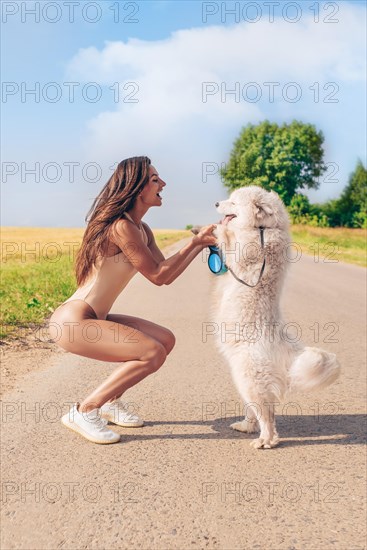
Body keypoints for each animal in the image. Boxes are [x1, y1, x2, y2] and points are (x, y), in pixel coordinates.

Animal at [210, 188, 342, 450]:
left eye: (233, 202)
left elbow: (229, 241)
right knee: (259, 412)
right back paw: (246, 427)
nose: (217, 203)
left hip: (250, 380)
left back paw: (266, 441)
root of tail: (283, 345)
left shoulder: (243, 253)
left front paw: (217, 230)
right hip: (245, 382)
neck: (262, 228)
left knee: (267, 416)